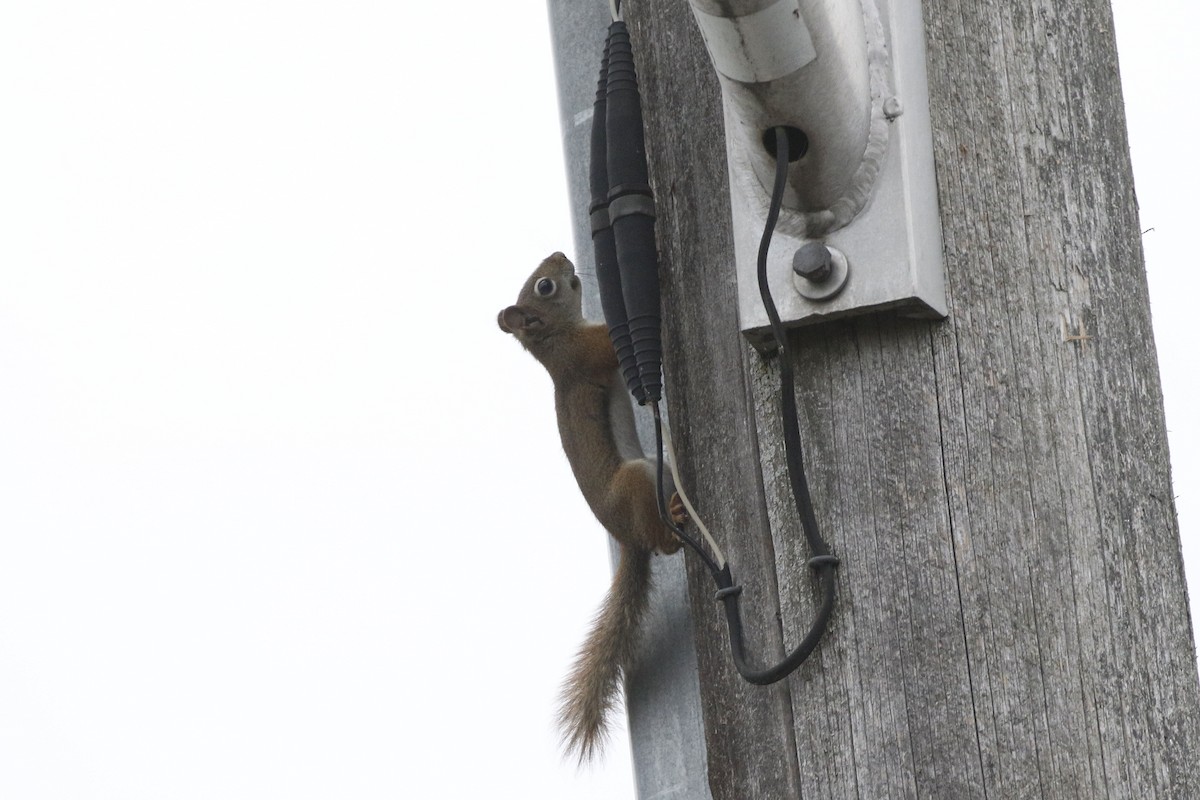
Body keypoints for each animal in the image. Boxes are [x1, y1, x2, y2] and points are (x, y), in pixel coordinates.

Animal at [498, 251, 685, 763]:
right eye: (544, 286)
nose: (561, 256)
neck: (558, 339)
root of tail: (628, 537)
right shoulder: (590, 351)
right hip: (637, 481)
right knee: (665, 545)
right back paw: (676, 523)